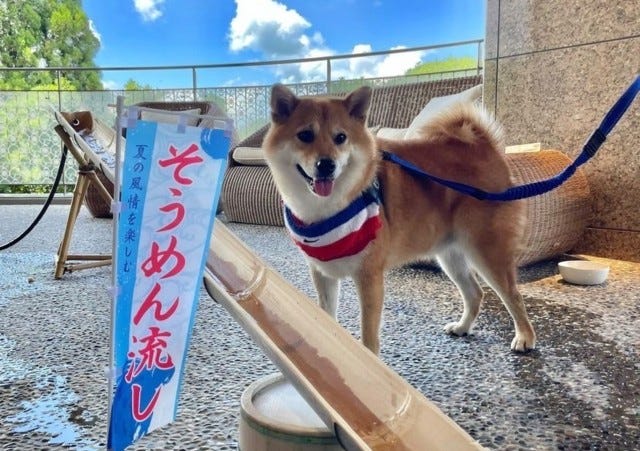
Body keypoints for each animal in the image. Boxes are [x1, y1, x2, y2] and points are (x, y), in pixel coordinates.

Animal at [262, 83, 536, 354]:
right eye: (305, 135)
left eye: (340, 138)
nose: (326, 164)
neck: (327, 210)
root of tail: (483, 146)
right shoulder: (323, 273)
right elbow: (326, 317)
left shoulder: (369, 277)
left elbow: (368, 334)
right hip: (450, 254)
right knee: (475, 293)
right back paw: (462, 327)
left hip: (487, 252)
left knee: (513, 295)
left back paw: (525, 337)